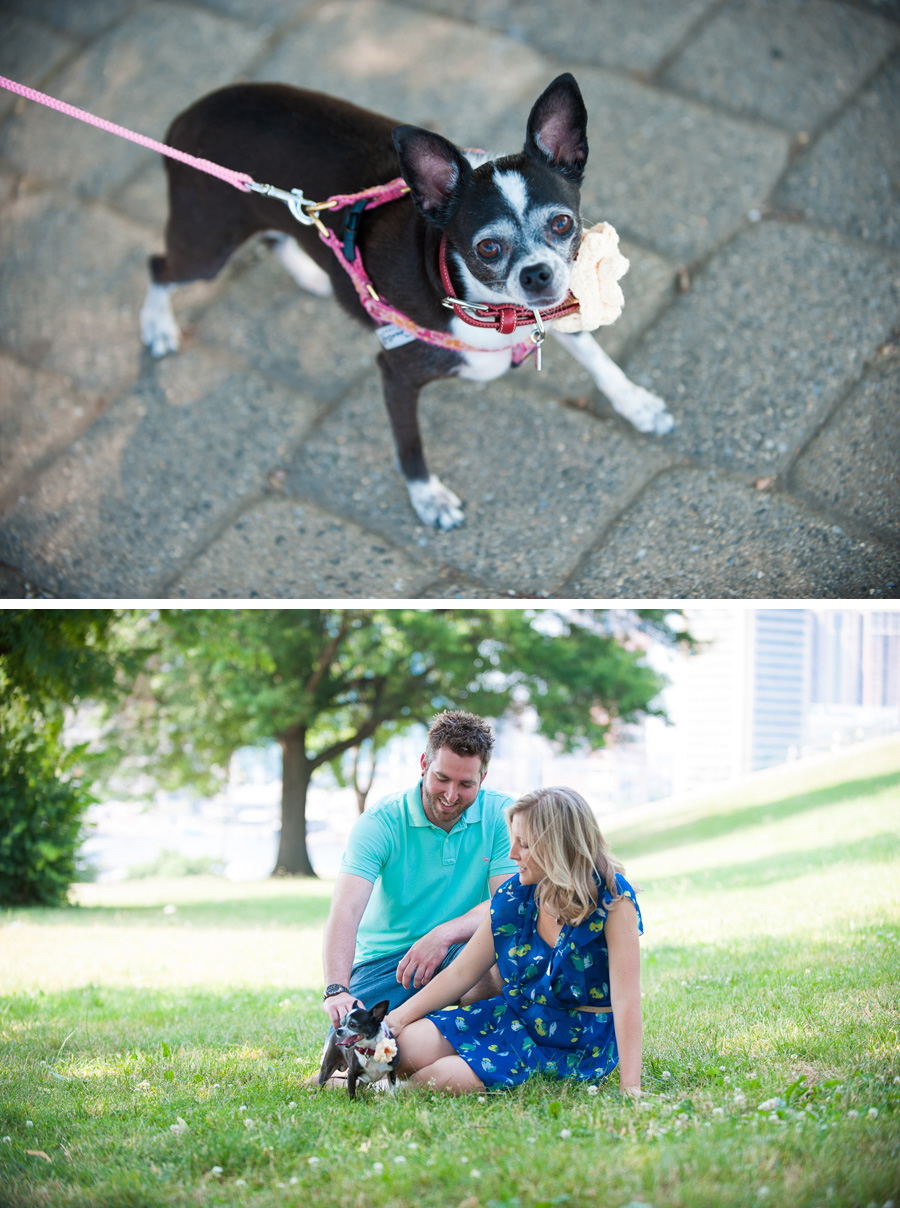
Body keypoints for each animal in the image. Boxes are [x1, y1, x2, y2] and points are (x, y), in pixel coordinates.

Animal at [141, 73, 676, 526]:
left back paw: (312, 275)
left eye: (563, 223)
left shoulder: (554, 308)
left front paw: (637, 405)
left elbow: (598, 358)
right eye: (488, 248)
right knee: (158, 266)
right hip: (206, 246)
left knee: (277, 230)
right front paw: (429, 498)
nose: (538, 273)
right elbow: (409, 444)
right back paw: (157, 326)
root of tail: (185, 115)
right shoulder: (396, 374)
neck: (484, 305)